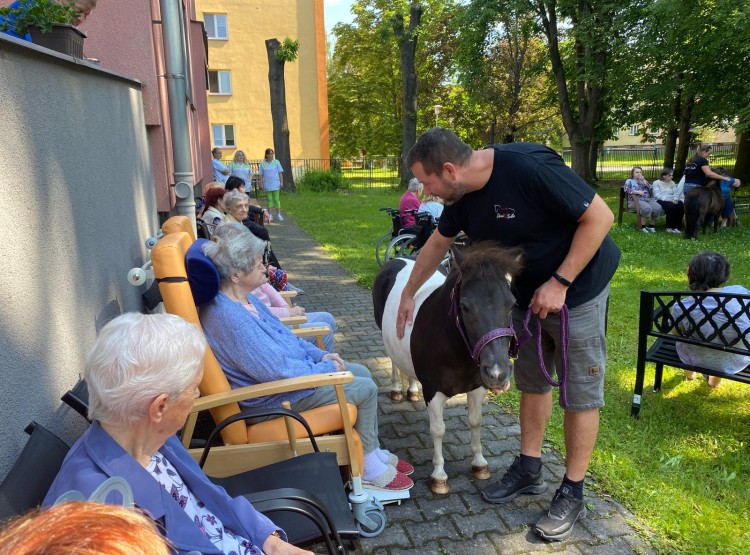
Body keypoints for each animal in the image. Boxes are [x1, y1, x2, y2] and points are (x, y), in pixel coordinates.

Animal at [374, 243, 524, 496]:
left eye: (512, 304)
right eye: (465, 306)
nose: (498, 373)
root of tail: (399, 258)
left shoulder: (477, 388)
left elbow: (475, 421)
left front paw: (479, 464)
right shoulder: (433, 392)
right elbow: (438, 430)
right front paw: (439, 476)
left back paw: (411, 390)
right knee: (393, 361)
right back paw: (396, 390)